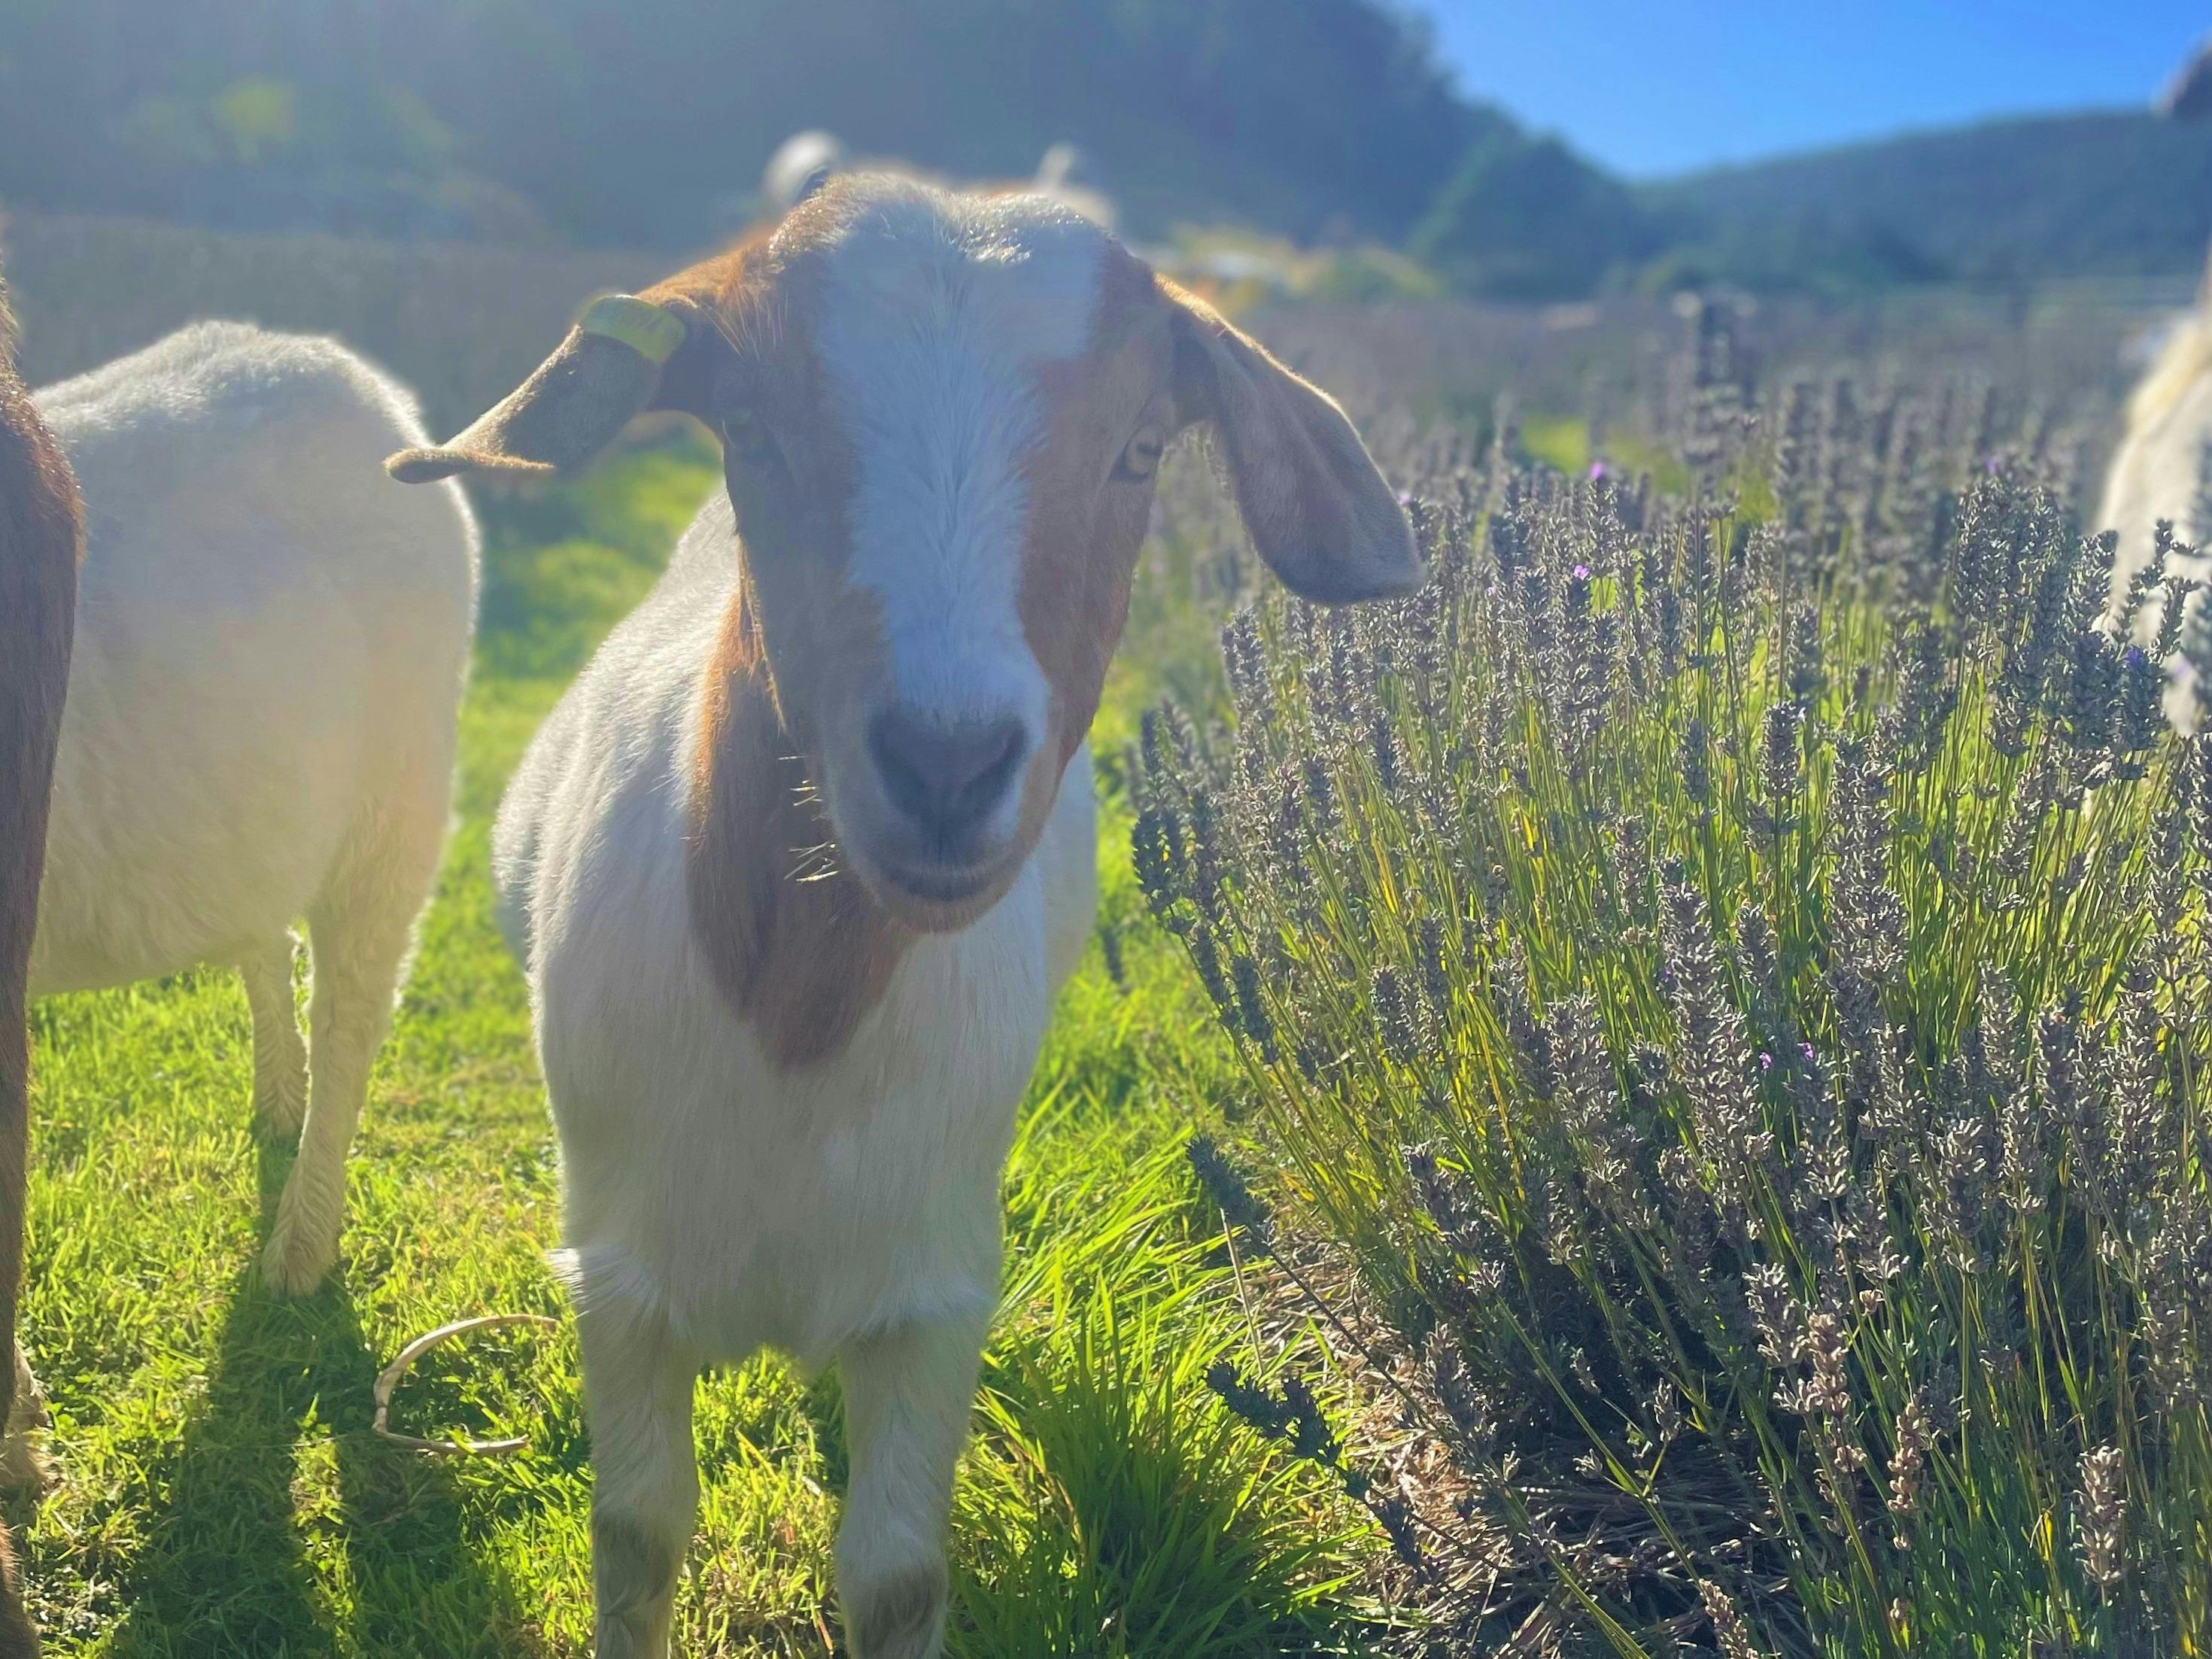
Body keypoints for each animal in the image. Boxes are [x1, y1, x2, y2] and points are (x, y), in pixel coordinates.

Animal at [387, 174, 1420, 1658]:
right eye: (751, 430)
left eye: (1142, 450)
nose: (946, 761)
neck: (793, 1020)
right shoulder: (620, 1277)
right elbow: (636, 1537)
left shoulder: (932, 1296)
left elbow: (894, 1577)